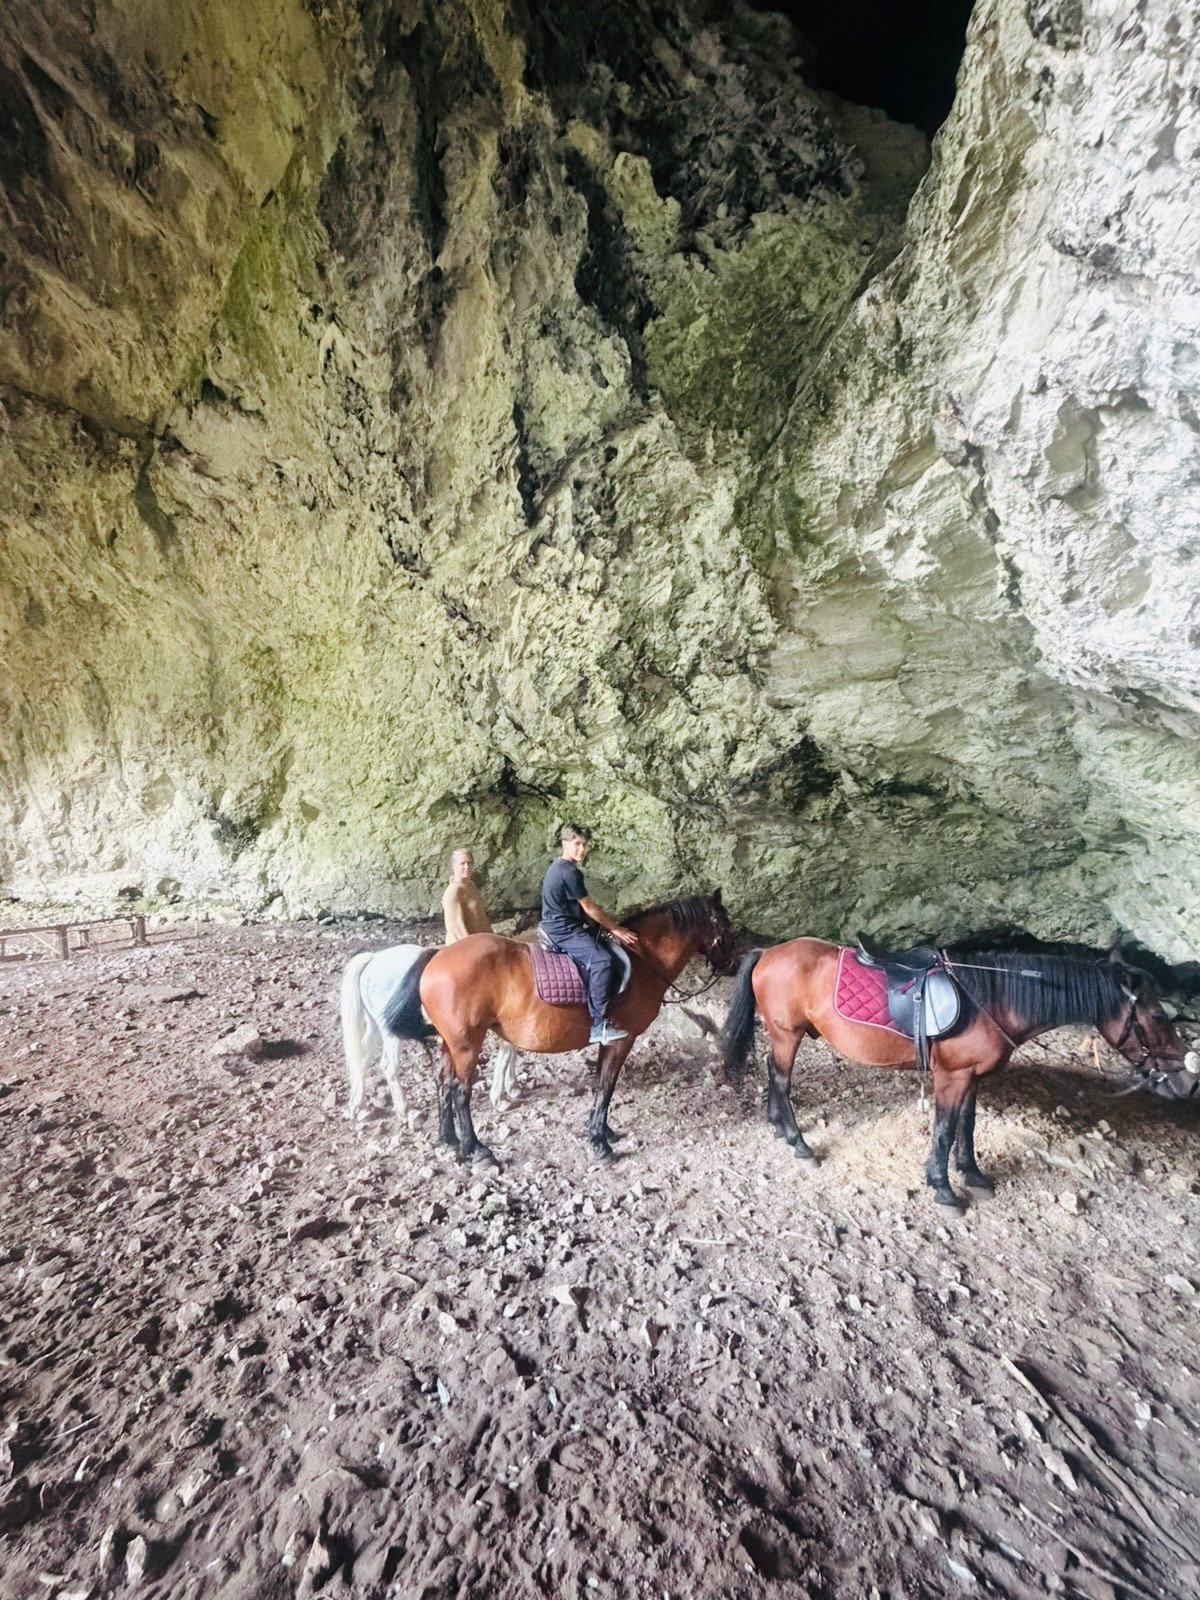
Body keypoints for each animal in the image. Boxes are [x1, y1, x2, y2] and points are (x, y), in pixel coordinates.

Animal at [339, 945, 520, 1121]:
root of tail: (372, 959)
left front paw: (512, 1087)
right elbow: (506, 1055)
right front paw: (499, 1098)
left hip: (374, 1027)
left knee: (362, 1059)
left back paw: (359, 1107)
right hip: (391, 1033)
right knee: (389, 1066)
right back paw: (407, 1111)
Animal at [382, 892, 737, 1165]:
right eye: (725, 925)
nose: (734, 965)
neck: (642, 961)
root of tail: (437, 957)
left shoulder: (608, 1041)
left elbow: (601, 1084)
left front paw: (603, 1132)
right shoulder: (622, 1039)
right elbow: (606, 1086)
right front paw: (600, 1144)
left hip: (450, 1042)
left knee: (442, 1083)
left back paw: (449, 1140)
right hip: (467, 1044)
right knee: (459, 1091)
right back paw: (478, 1150)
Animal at [720, 938, 1198, 1209]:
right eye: (1157, 1016)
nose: (1187, 1080)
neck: (994, 998)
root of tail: (768, 952)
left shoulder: (973, 1077)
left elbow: (967, 1127)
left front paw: (973, 1174)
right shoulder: (952, 1077)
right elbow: (945, 1129)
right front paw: (943, 1188)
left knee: (773, 1076)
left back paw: (778, 1126)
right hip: (787, 1034)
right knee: (782, 1079)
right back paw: (798, 1142)